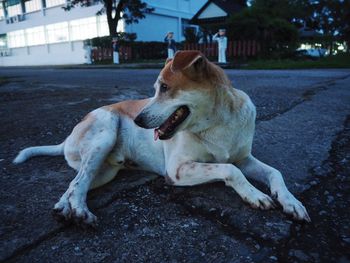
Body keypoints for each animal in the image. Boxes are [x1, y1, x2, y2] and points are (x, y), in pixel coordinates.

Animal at [13, 51, 310, 227]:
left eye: (165, 88)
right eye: (155, 89)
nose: (137, 120)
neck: (216, 123)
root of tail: (68, 137)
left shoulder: (244, 158)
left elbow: (274, 172)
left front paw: (291, 202)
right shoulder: (177, 169)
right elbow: (230, 170)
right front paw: (255, 195)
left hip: (104, 171)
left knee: (76, 184)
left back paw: (64, 208)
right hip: (104, 134)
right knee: (78, 183)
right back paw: (80, 212)